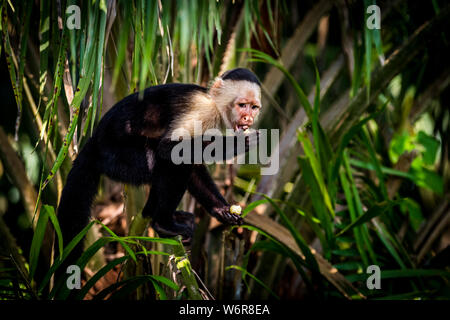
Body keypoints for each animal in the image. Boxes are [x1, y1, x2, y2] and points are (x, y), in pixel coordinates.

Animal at [57, 69, 260, 266]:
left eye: (254, 107)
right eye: (242, 105)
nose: (248, 118)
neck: (215, 103)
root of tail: (94, 142)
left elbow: (194, 166)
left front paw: (222, 210)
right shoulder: (203, 111)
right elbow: (171, 150)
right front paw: (239, 142)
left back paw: (155, 214)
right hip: (119, 158)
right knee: (165, 159)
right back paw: (163, 222)